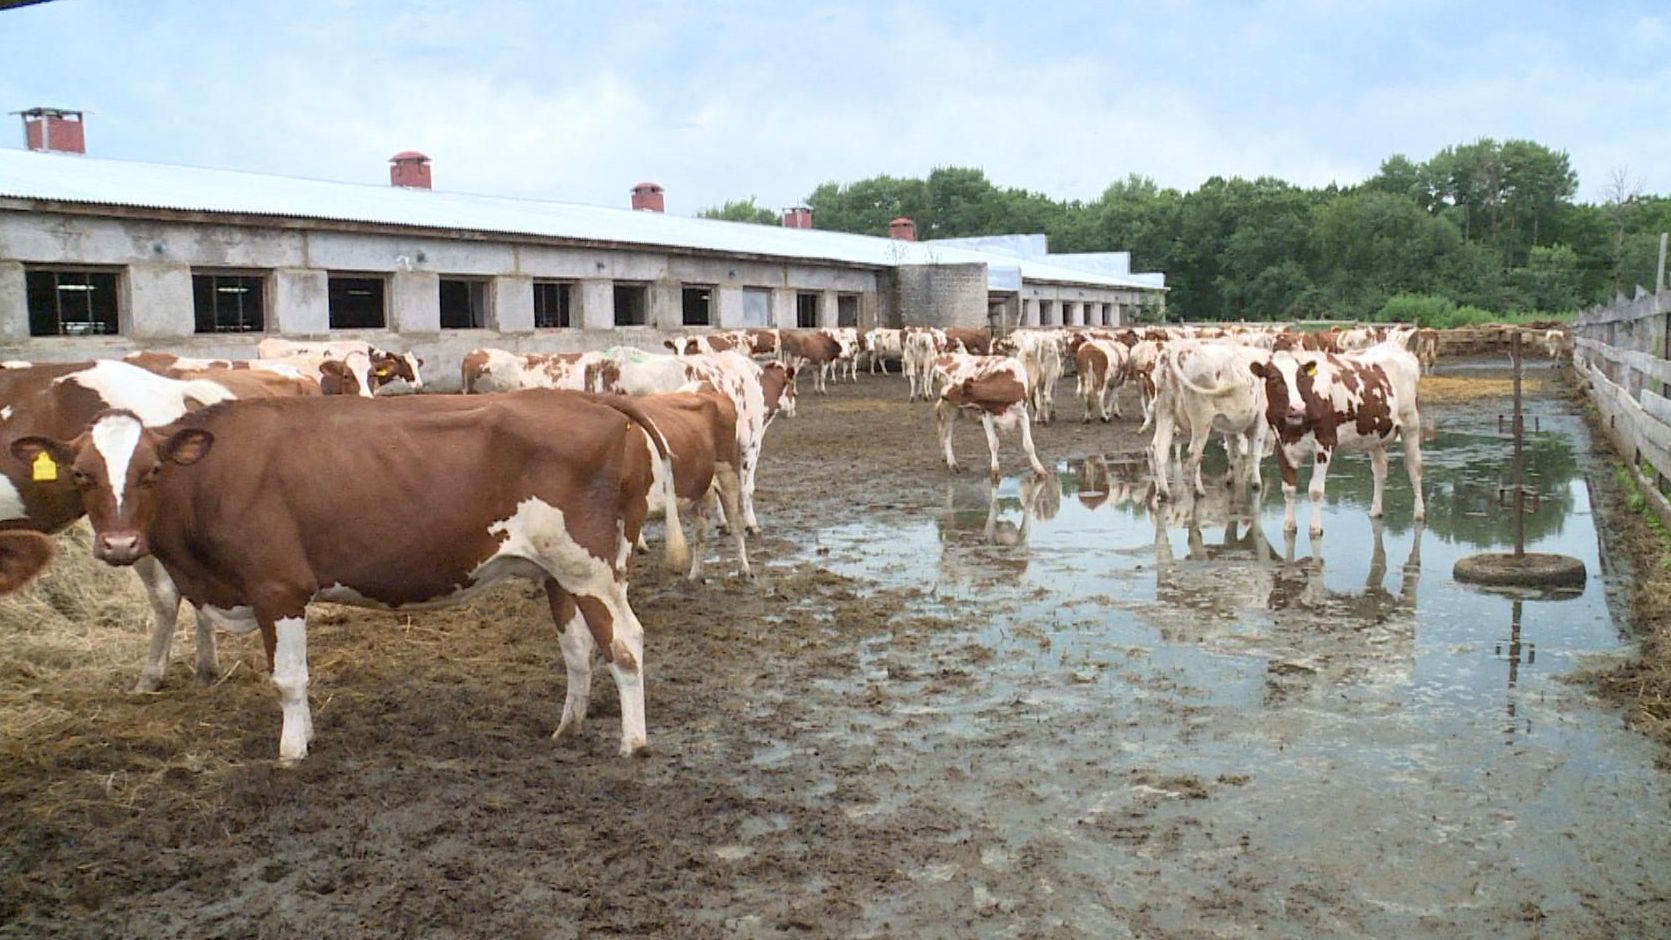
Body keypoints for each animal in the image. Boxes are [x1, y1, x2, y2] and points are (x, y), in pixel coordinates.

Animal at [8, 392, 685, 764]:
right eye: (81, 475)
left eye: (151, 470)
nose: (119, 545)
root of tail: (585, 398)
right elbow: (293, 678)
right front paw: (305, 739)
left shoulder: (277, 588)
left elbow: (287, 679)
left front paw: (290, 753)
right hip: (558, 572)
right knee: (578, 649)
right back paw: (567, 727)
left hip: (592, 567)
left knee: (626, 643)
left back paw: (633, 743)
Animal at [1256, 343, 1423, 537]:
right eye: (1274, 378)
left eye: (1301, 377)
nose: (1297, 408)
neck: (1293, 430)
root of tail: (1397, 347)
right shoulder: (1282, 445)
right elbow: (1289, 489)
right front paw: (1289, 526)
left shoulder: (1325, 442)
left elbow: (1315, 491)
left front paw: (1315, 528)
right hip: (1375, 433)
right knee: (1380, 470)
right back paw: (1375, 511)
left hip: (1411, 424)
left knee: (1414, 468)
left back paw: (1419, 513)